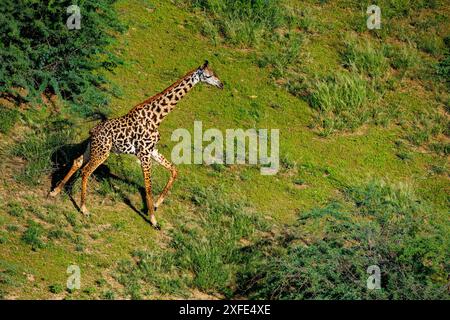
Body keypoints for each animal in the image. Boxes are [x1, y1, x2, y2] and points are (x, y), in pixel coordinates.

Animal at [49, 60, 223, 230]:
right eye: (208, 75)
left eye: (215, 73)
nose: (221, 84)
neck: (156, 118)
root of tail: (93, 131)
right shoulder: (144, 154)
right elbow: (148, 186)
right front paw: (153, 220)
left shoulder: (152, 150)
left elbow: (174, 170)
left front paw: (157, 205)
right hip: (103, 152)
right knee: (86, 171)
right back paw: (84, 208)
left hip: (93, 148)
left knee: (77, 162)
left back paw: (55, 191)